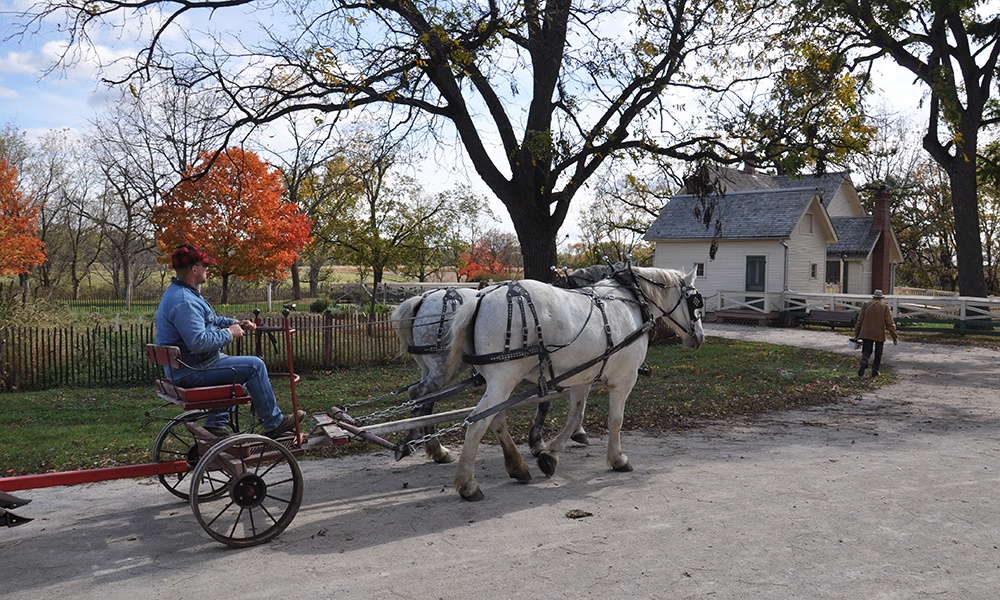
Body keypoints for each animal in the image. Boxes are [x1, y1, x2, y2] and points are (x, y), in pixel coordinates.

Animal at [446, 268, 704, 502]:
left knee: (495, 419)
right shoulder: (624, 380)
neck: (633, 301)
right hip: (504, 379)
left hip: (497, 382)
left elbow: (575, 417)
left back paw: (518, 467)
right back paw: (468, 484)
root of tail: (481, 296)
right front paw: (617, 459)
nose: (700, 337)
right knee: (477, 423)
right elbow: (616, 420)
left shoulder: (583, 377)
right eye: (695, 302)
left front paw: (550, 456)